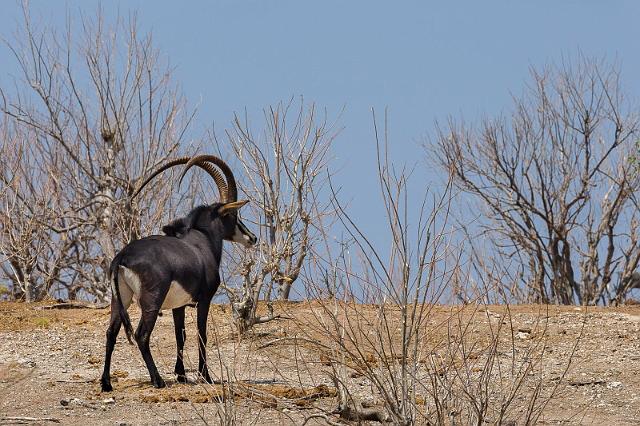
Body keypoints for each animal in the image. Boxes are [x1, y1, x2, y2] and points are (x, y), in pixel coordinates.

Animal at [100, 155, 255, 392]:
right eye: (232, 213)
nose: (252, 238)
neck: (203, 241)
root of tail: (122, 257)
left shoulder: (178, 305)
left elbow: (179, 335)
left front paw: (181, 375)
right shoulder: (204, 300)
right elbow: (201, 334)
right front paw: (205, 376)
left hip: (120, 298)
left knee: (111, 332)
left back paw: (106, 383)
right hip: (152, 300)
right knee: (141, 335)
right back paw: (157, 380)